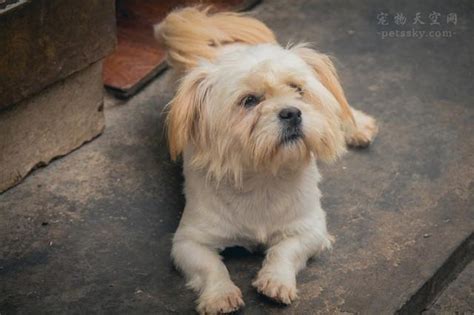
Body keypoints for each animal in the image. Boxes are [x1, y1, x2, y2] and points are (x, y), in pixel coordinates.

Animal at [156, 6, 378, 314]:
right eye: (249, 101)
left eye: (298, 89)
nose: (292, 112)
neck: (264, 176)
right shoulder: (188, 242)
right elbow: (212, 267)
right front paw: (220, 295)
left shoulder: (312, 228)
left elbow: (284, 251)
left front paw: (276, 281)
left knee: (338, 105)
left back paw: (357, 125)